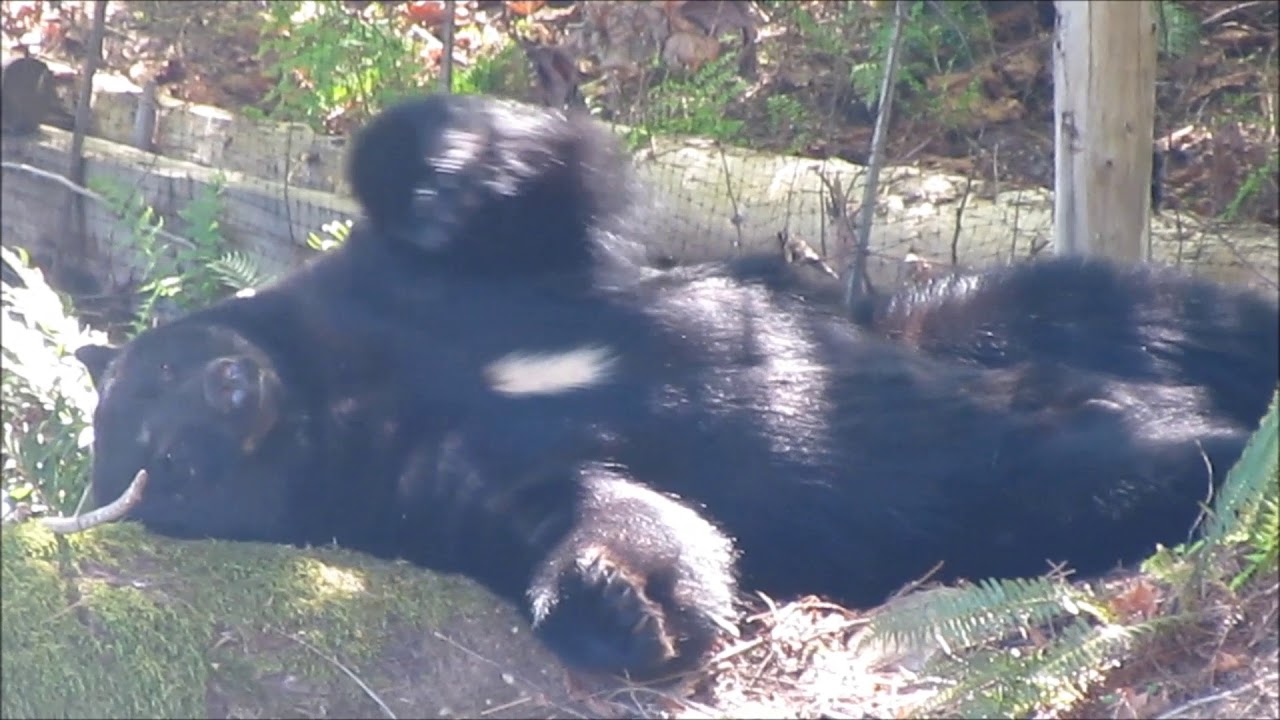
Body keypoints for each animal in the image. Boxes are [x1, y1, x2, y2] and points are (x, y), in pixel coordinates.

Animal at [74, 93, 1280, 682]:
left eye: (166, 367)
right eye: (163, 462)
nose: (233, 385)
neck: (345, 394)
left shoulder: (426, 291)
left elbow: (541, 186)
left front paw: (444, 174)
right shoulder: (411, 491)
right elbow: (594, 507)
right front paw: (630, 605)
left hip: (955, 320)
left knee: (1142, 307)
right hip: (994, 491)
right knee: (1093, 469)